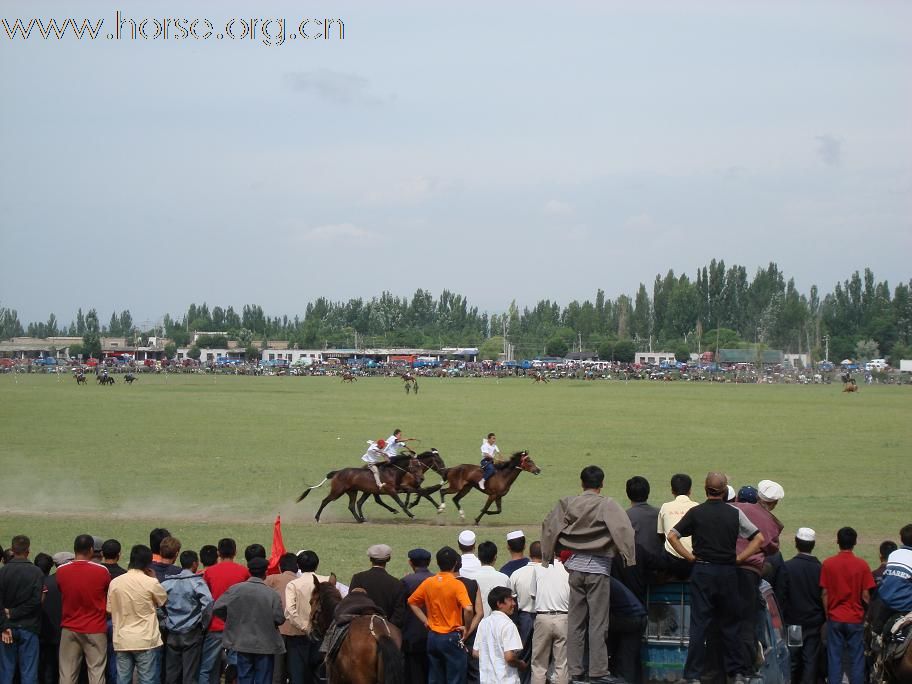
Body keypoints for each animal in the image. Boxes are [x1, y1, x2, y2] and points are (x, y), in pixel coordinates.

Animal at [300, 456, 428, 520]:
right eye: (416, 466)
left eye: (420, 465)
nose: (422, 478)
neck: (393, 472)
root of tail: (337, 472)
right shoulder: (391, 490)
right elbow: (400, 502)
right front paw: (410, 514)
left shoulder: (398, 488)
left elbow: (412, 491)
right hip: (337, 491)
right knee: (325, 501)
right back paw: (317, 517)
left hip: (353, 492)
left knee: (352, 505)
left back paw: (360, 519)